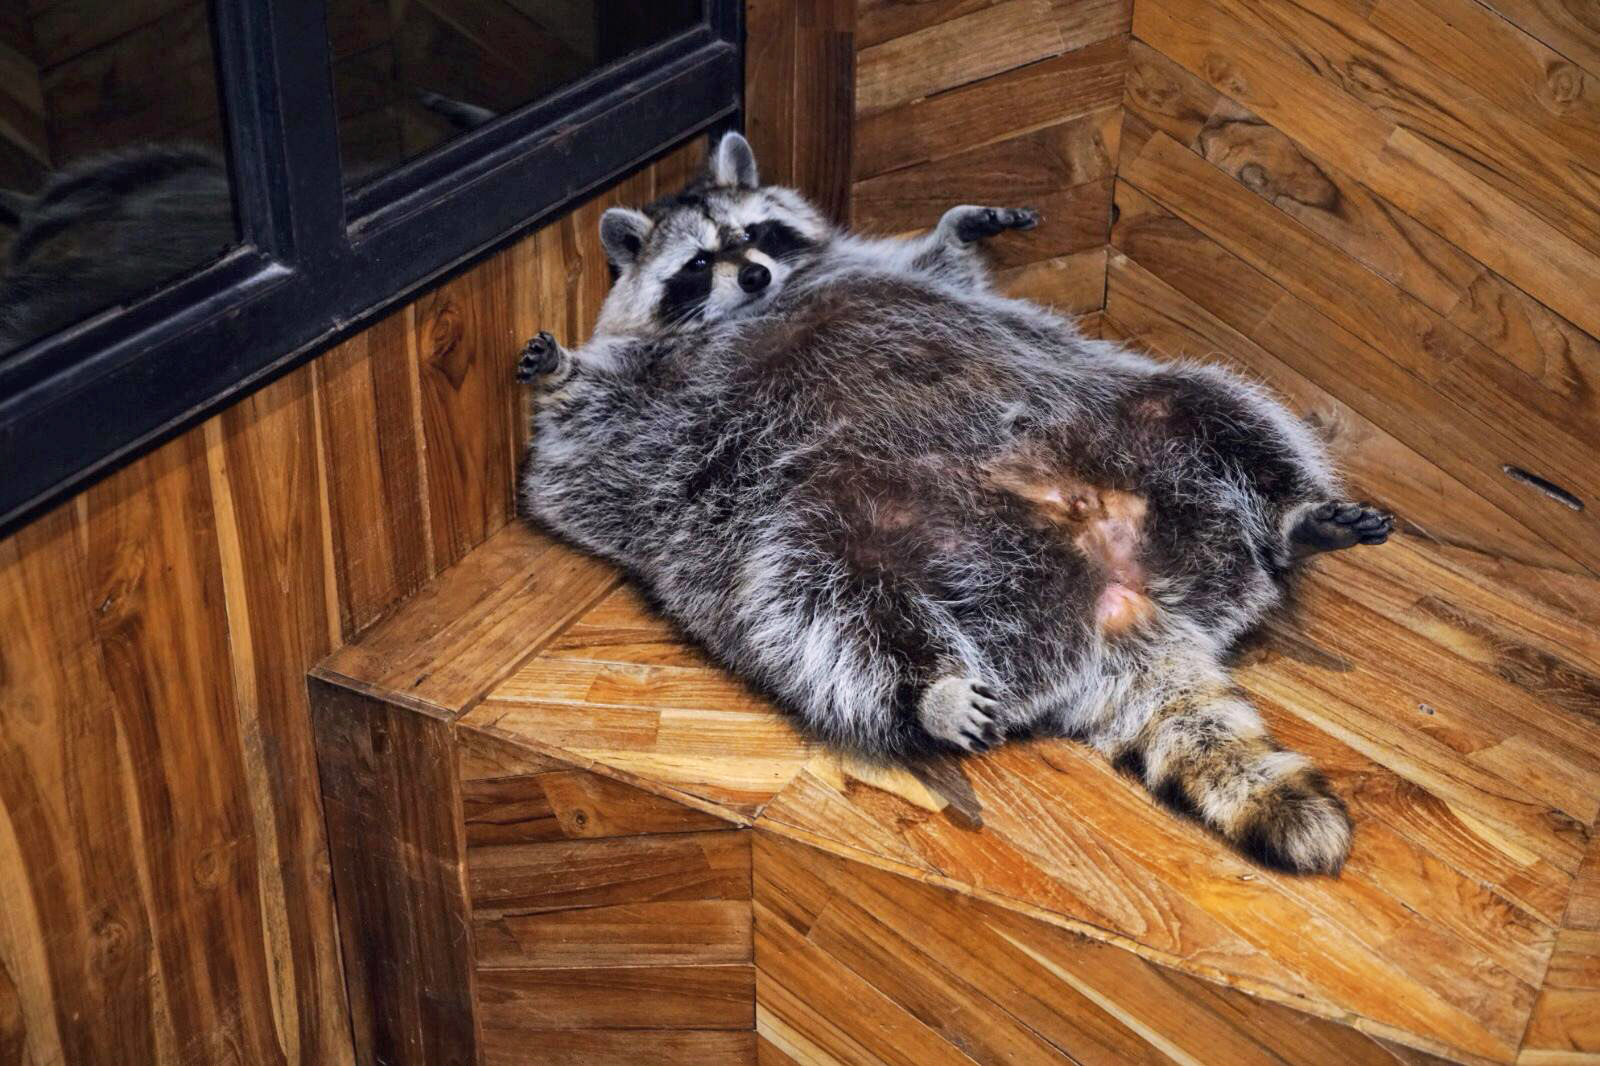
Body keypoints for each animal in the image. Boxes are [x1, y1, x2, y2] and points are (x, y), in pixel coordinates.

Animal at [518, 130, 1395, 870]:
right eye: (699, 264)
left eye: (758, 233)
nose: (758, 274)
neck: (764, 305)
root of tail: (1119, 600)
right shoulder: (651, 410)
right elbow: (576, 457)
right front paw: (559, 374)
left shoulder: (880, 269)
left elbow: (944, 267)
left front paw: (962, 228)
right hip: (820, 522)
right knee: (819, 596)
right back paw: (926, 688)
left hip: (1121, 419)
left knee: (1207, 403)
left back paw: (1292, 513)